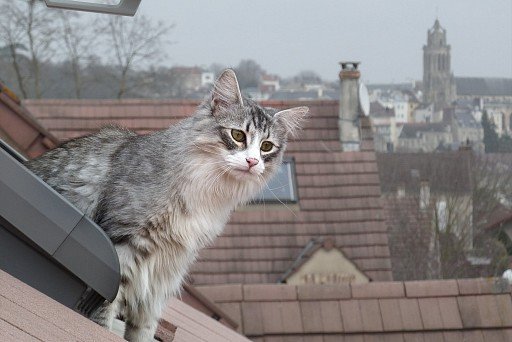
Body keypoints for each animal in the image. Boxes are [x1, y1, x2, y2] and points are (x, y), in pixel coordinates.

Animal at [25, 69, 308, 340]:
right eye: (238, 135)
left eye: (266, 146)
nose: (252, 162)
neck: (207, 190)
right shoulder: (121, 247)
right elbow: (104, 311)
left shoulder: (165, 273)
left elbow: (145, 328)